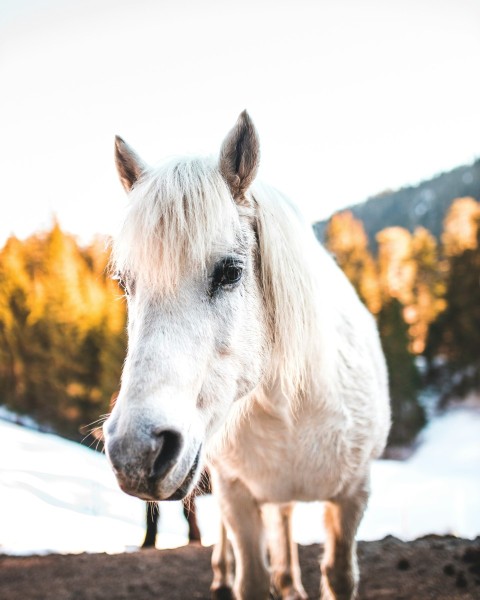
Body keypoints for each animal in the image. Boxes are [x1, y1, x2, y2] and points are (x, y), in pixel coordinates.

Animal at [105, 110, 390, 596]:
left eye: (230, 272)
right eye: (126, 283)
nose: (135, 453)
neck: (293, 411)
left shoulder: (353, 496)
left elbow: (338, 575)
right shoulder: (236, 494)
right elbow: (251, 577)